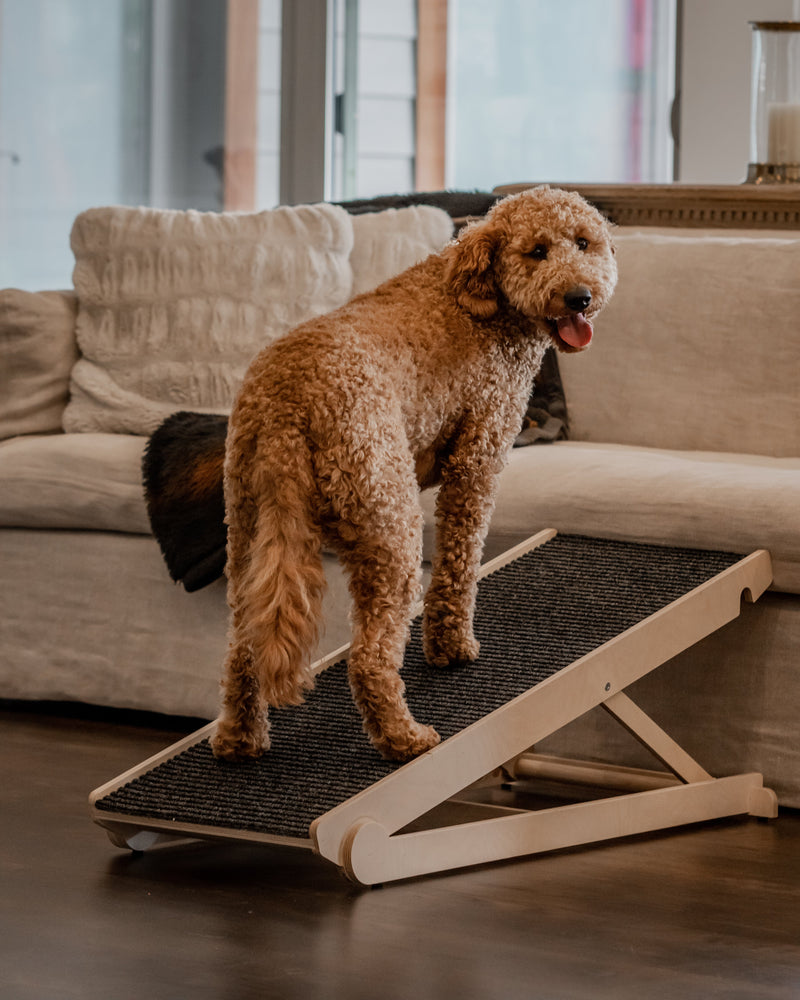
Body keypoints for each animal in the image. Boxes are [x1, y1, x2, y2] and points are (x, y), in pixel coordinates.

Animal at [212, 188, 620, 760]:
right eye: (537, 251)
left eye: (584, 243)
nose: (579, 297)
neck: (484, 301)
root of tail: (286, 405)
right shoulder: (476, 462)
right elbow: (458, 566)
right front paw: (452, 648)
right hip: (389, 524)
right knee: (369, 657)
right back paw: (404, 738)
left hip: (248, 529)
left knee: (243, 645)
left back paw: (239, 739)